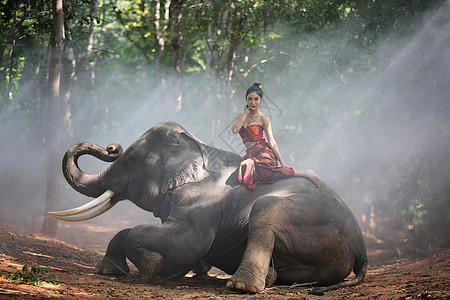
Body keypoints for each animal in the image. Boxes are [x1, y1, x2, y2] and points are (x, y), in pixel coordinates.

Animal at [50, 120, 366, 294]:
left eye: (129, 160)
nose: (111, 147)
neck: (198, 145)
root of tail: (361, 247)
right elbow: (177, 253)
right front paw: (109, 271)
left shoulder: (202, 204)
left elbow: (188, 243)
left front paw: (151, 269)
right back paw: (270, 278)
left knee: (264, 215)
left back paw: (240, 287)